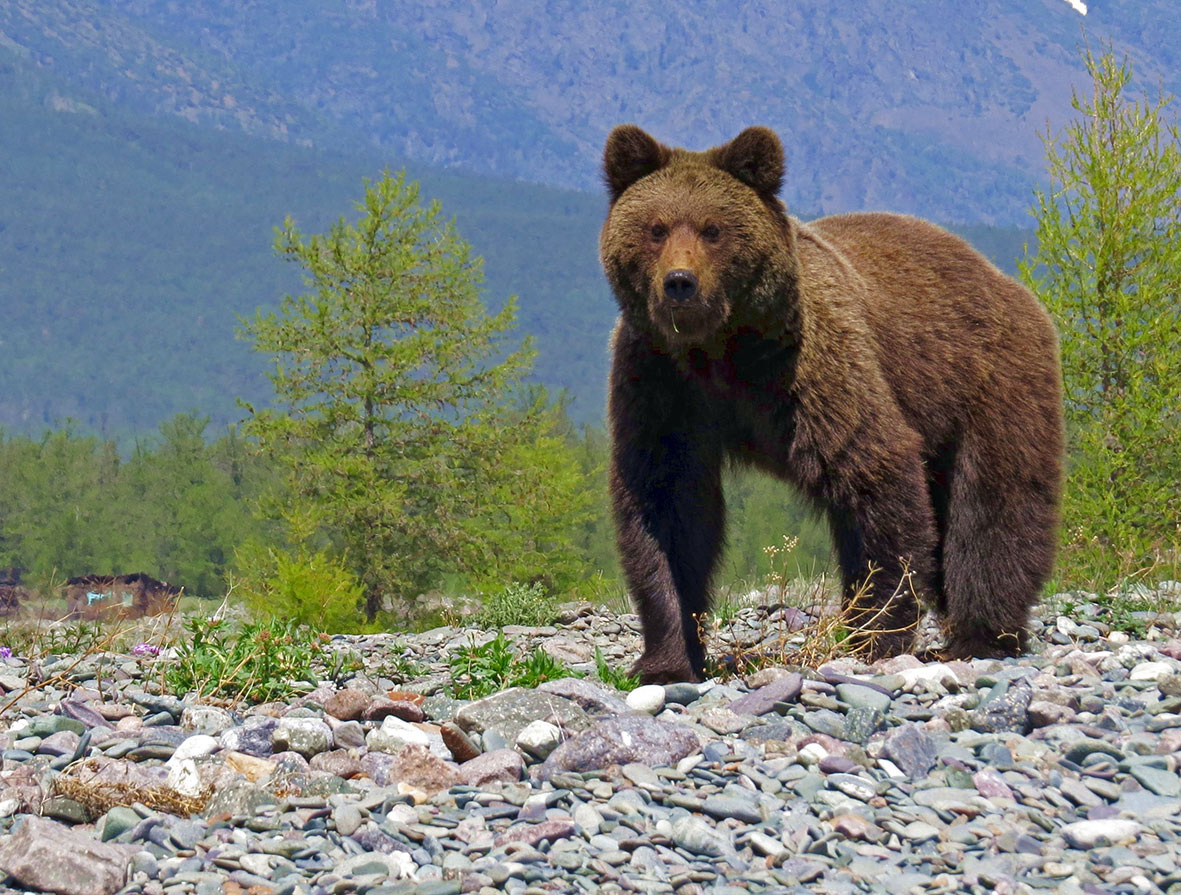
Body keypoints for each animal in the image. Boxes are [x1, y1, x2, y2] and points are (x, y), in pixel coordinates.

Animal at [595, 124, 1067, 684]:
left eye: (713, 229)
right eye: (656, 228)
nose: (680, 283)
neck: (722, 350)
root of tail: (1003, 279)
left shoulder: (811, 370)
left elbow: (875, 476)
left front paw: (875, 634)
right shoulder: (662, 383)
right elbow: (666, 507)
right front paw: (668, 659)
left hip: (989, 378)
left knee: (996, 503)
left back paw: (983, 635)